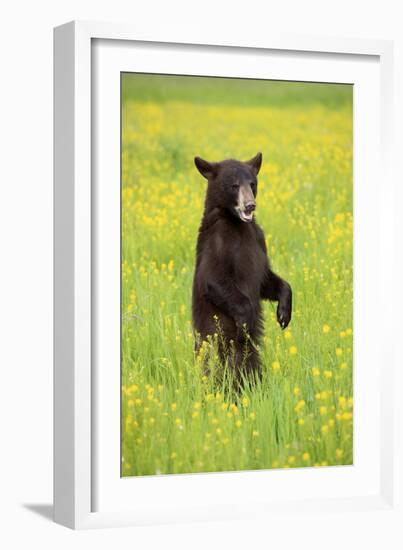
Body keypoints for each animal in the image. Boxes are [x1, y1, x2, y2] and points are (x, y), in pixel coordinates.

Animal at [193, 151, 294, 384]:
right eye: (234, 185)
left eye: (252, 183)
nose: (250, 205)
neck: (237, 223)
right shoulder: (217, 242)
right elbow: (214, 279)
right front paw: (246, 323)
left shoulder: (258, 240)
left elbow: (266, 279)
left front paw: (284, 314)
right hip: (217, 340)